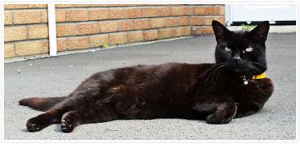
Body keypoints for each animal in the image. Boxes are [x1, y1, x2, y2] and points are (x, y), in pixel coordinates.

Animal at [19, 20, 274, 133]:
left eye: (248, 49)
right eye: (228, 49)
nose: (238, 59)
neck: (241, 80)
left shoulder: (251, 106)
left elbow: (237, 106)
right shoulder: (202, 96)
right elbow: (229, 103)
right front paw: (215, 117)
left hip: (106, 109)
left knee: (73, 113)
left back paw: (68, 124)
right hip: (90, 93)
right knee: (56, 110)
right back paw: (34, 123)